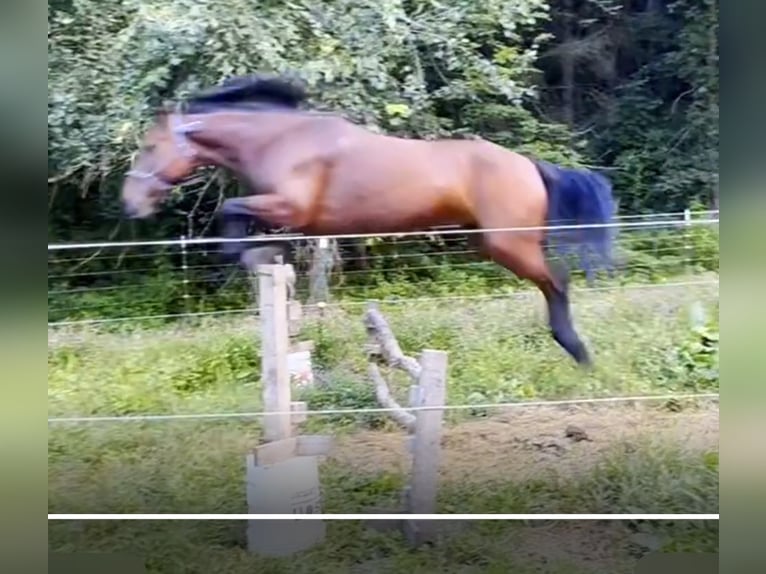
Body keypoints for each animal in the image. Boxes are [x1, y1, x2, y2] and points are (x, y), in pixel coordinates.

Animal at [120, 74, 618, 368]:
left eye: (150, 147)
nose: (131, 203)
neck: (285, 141)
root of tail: (530, 165)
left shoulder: (291, 209)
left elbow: (231, 214)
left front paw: (244, 255)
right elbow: (246, 224)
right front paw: (259, 254)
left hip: (508, 244)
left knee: (557, 281)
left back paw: (576, 350)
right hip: (488, 242)